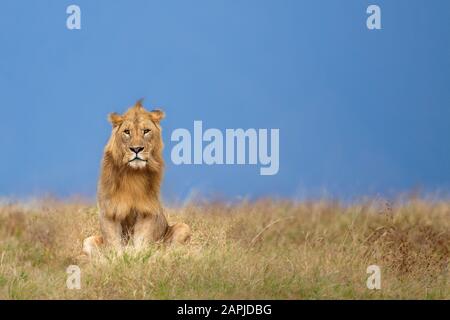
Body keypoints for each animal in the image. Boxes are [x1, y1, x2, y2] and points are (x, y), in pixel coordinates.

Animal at [82, 99, 190, 256]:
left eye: (146, 131)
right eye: (127, 132)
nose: (137, 149)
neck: (132, 173)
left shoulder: (147, 210)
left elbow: (142, 240)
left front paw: (137, 254)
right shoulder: (108, 211)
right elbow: (113, 242)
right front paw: (119, 257)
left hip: (184, 227)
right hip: (88, 240)